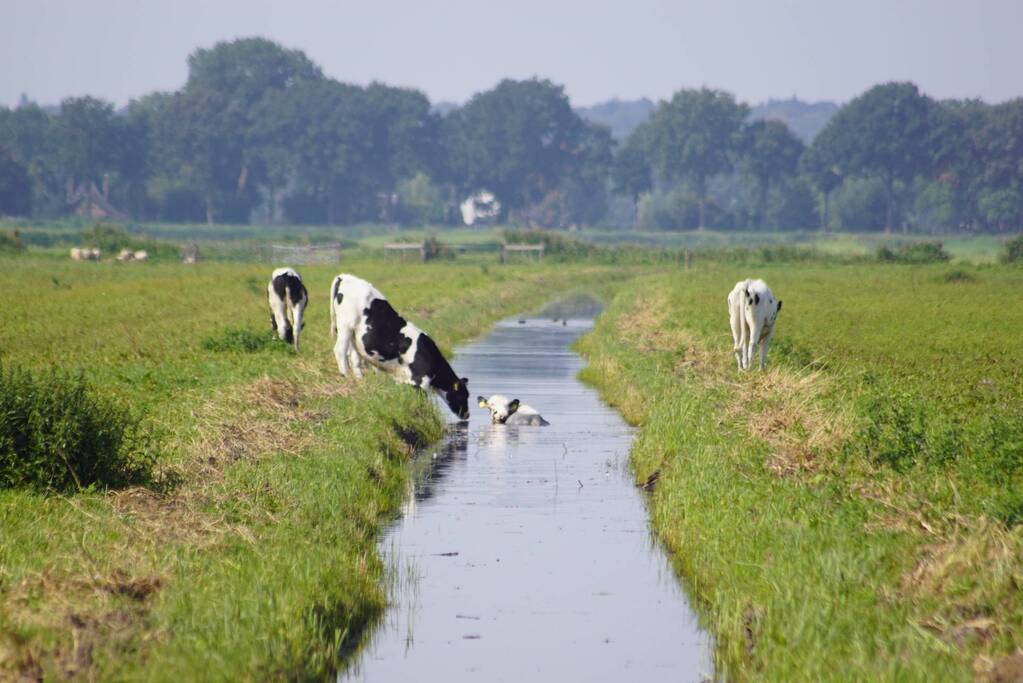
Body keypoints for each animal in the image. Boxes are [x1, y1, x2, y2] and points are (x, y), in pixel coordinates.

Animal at [329, 273, 470, 419]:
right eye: (464, 395)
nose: (467, 415)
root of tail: (344, 276)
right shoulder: (420, 381)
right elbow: (422, 402)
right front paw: (424, 415)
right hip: (345, 326)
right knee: (340, 351)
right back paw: (345, 376)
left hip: (354, 336)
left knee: (354, 358)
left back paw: (360, 382)